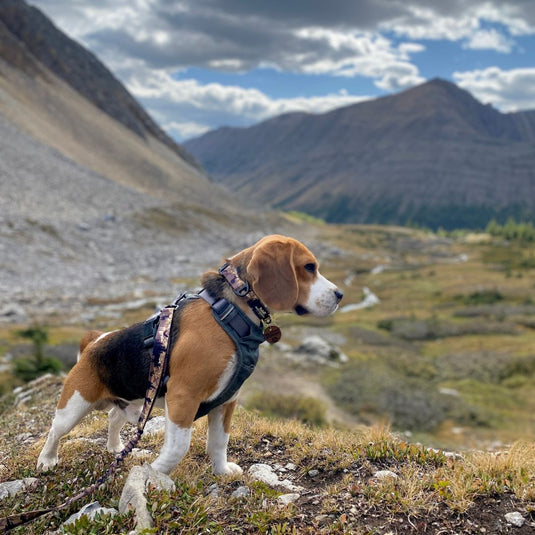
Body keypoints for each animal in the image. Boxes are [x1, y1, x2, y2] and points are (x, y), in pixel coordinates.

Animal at [38, 234, 348, 474]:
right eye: (309, 267)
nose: (340, 295)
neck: (230, 312)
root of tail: (93, 341)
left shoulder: (227, 400)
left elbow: (219, 442)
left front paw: (222, 471)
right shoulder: (183, 396)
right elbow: (179, 447)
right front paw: (155, 475)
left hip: (130, 401)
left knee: (114, 417)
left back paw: (115, 447)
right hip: (74, 405)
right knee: (55, 430)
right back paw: (47, 460)